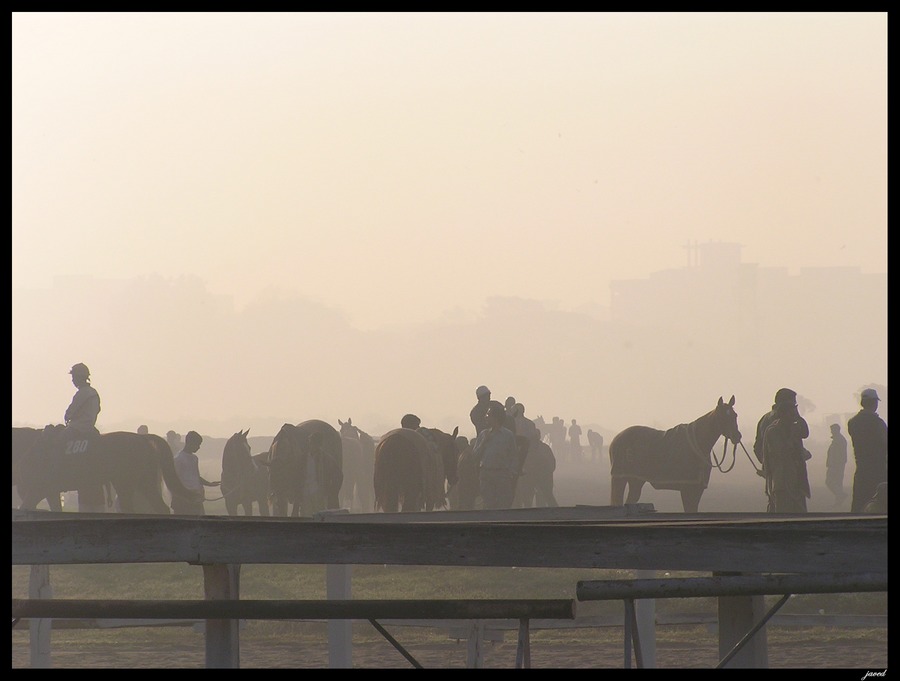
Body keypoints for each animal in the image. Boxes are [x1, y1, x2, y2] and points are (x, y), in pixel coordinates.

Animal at [16, 422, 195, 512]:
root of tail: (143, 439)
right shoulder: (46, 491)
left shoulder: (39, 489)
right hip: (145, 482)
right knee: (160, 508)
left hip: (125, 484)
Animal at [608, 394, 740, 510]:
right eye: (722, 417)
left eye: (735, 415)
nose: (737, 436)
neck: (698, 443)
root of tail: (616, 439)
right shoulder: (687, 490)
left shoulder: (697, 490)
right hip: (620, 478)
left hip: (636, 481)